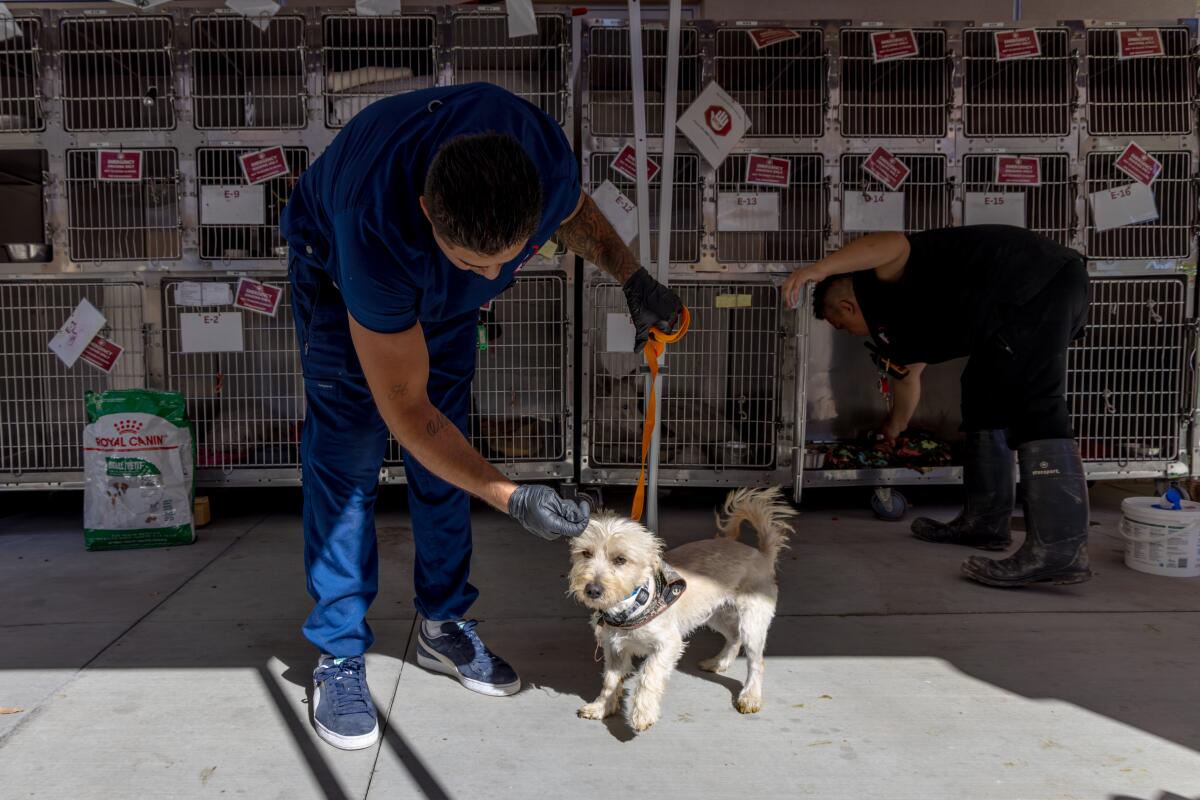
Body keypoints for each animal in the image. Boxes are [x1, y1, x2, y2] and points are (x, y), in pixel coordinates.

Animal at [571, 489, 796, 734]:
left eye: (621, 559)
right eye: (586, 553)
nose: (592, 590)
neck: (632, 605)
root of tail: (762, 554)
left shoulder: (668, 644)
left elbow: (648, 675)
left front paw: (643, 713)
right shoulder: (614, 649)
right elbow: (610, 681)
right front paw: (602, 707)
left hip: (751, 623)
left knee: (756, 662)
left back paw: (750, 696)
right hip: (715, 614)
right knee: (734, 637)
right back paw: (719, 663)